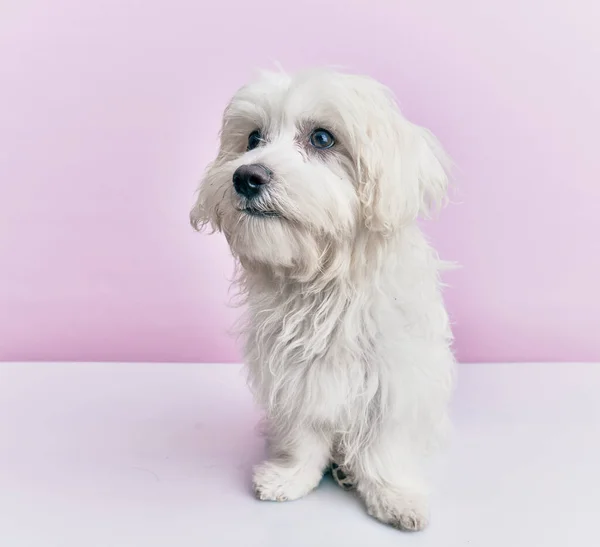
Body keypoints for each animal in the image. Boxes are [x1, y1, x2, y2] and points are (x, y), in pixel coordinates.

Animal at [191, 68, 454, 532]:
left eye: (322, 138)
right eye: (253, 138)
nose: (246, 176)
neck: (322, 283)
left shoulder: (395, 378)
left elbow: (384, 444)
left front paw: (394, 494)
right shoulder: (295, 377)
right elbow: (304, 434)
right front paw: (291, 475)